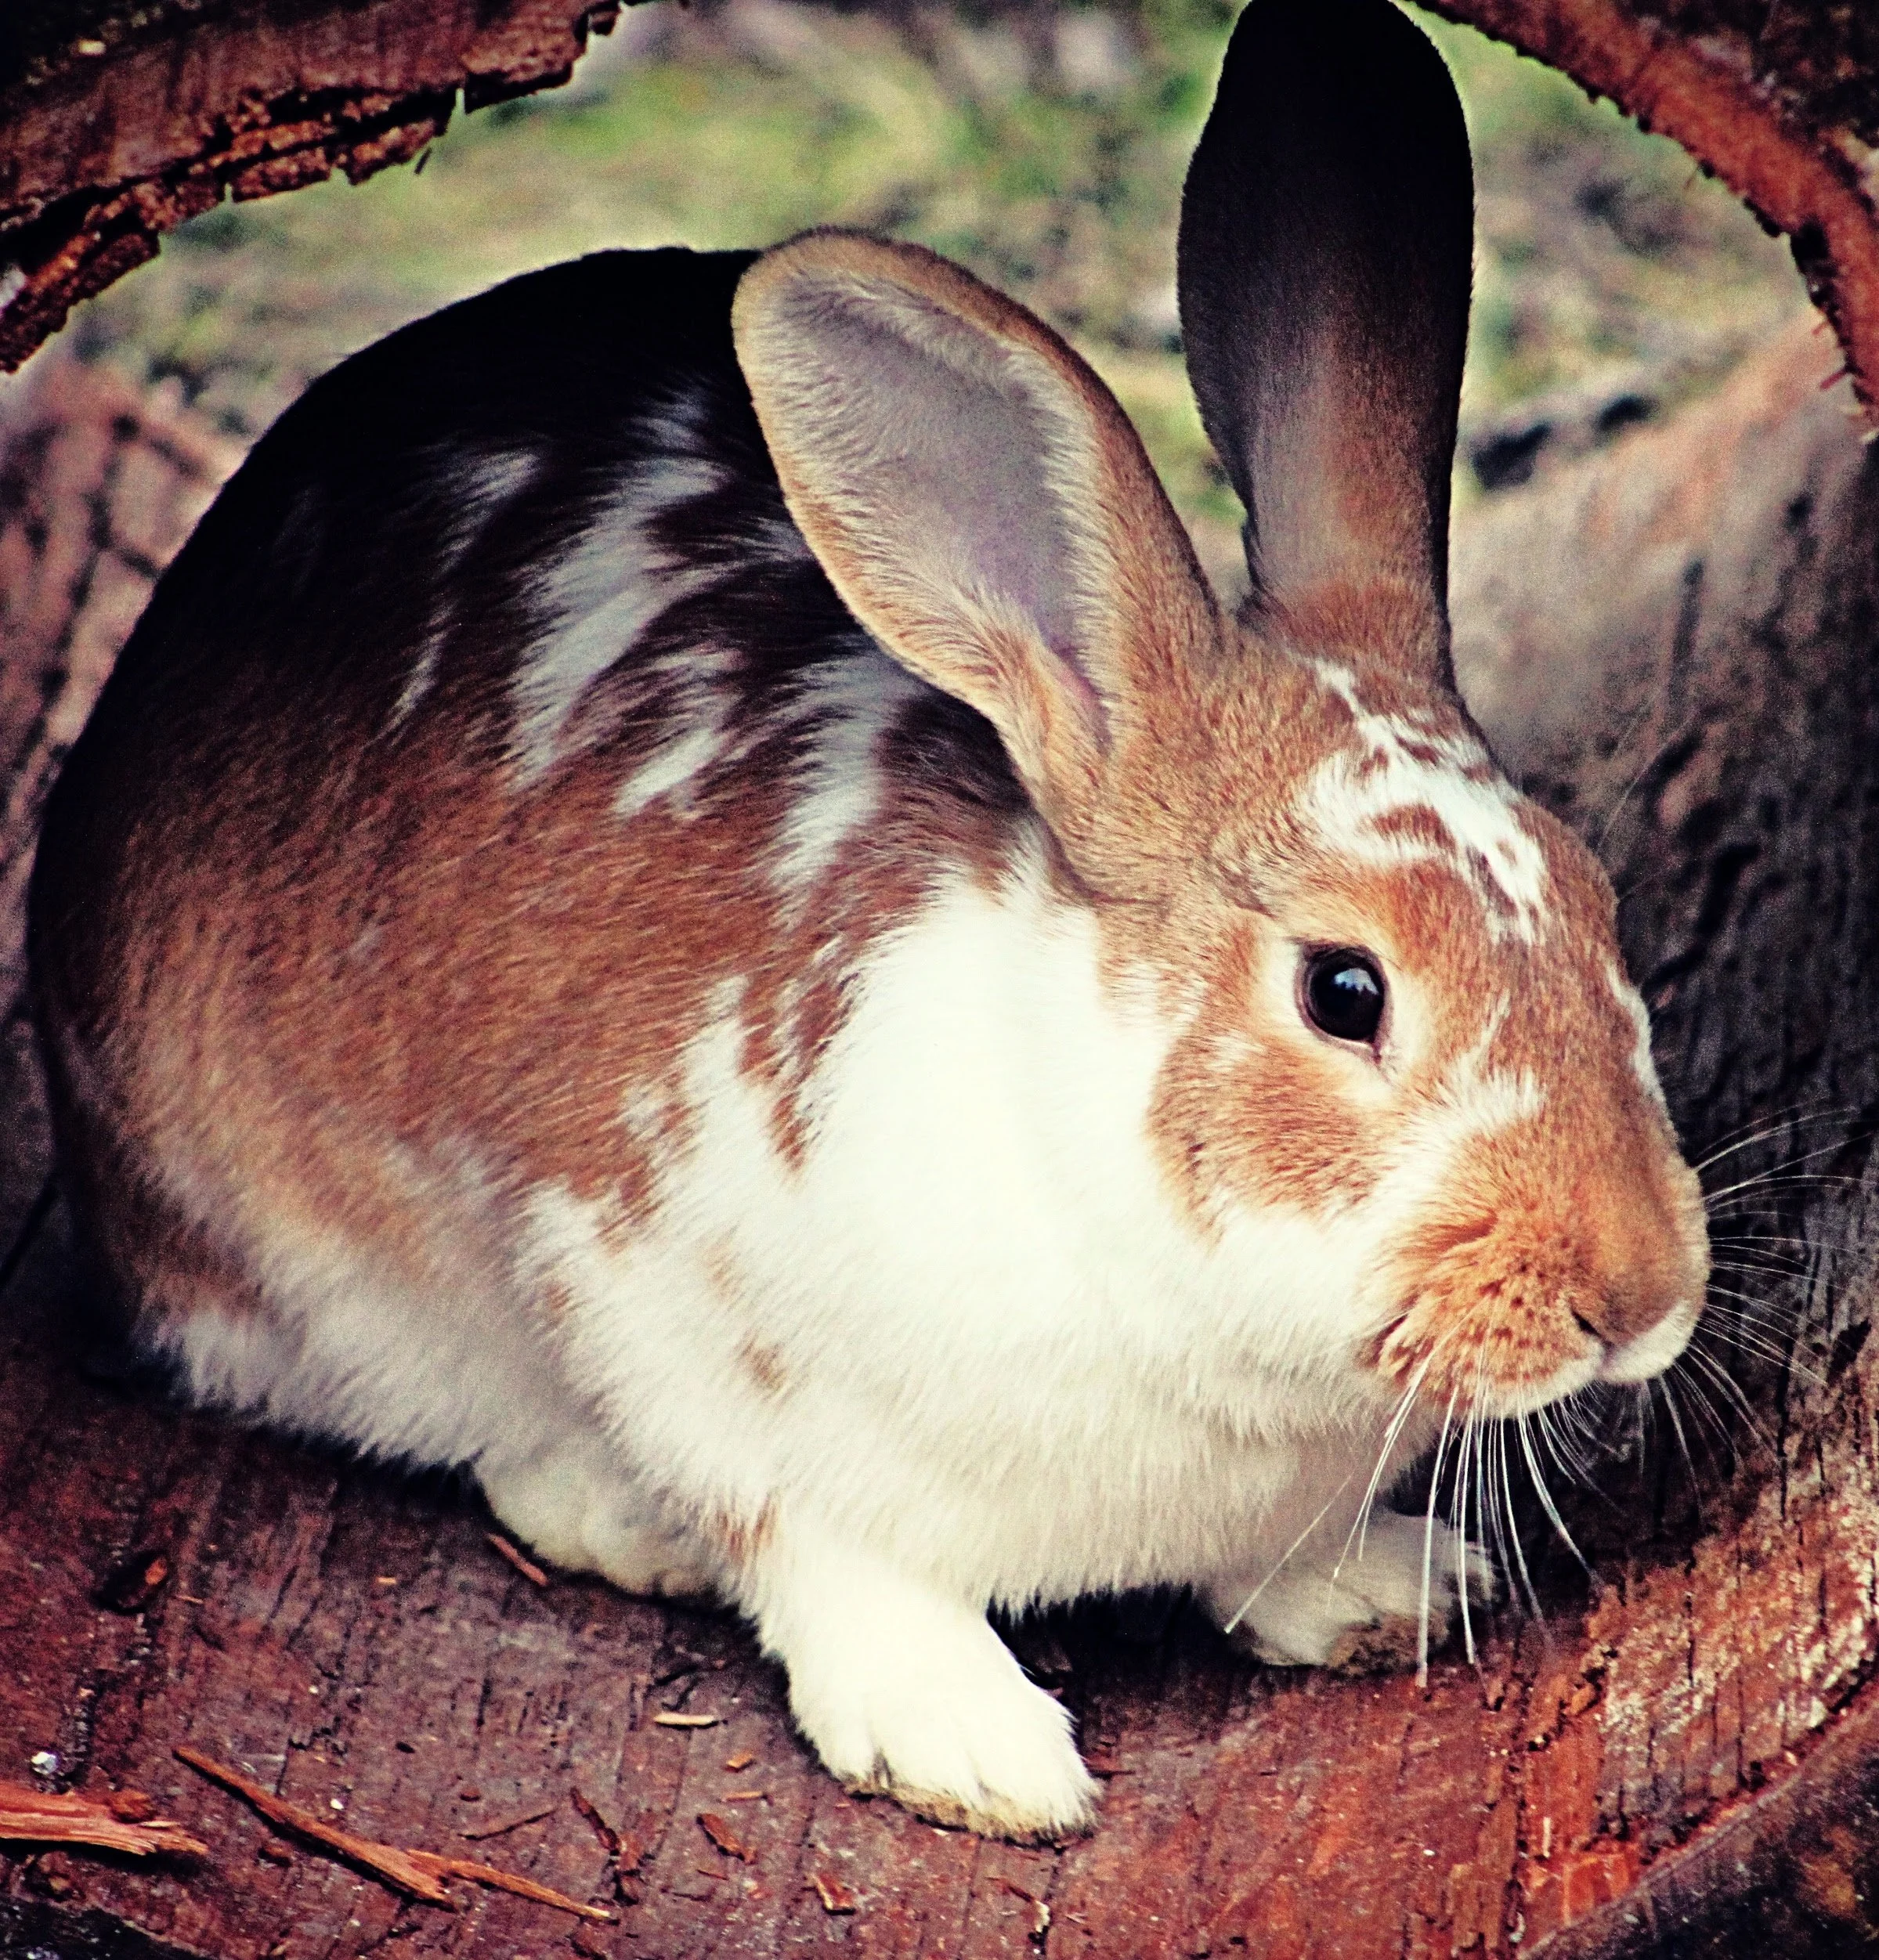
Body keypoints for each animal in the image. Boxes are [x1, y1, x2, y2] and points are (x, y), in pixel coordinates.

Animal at [27, 0, 1709, 1843]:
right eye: (1344, 989)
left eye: (1596, 900)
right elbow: (827, 1561)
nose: (1635, 1294)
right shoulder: (690, 1339)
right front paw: (977, 1755)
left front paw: (1385, 1588)